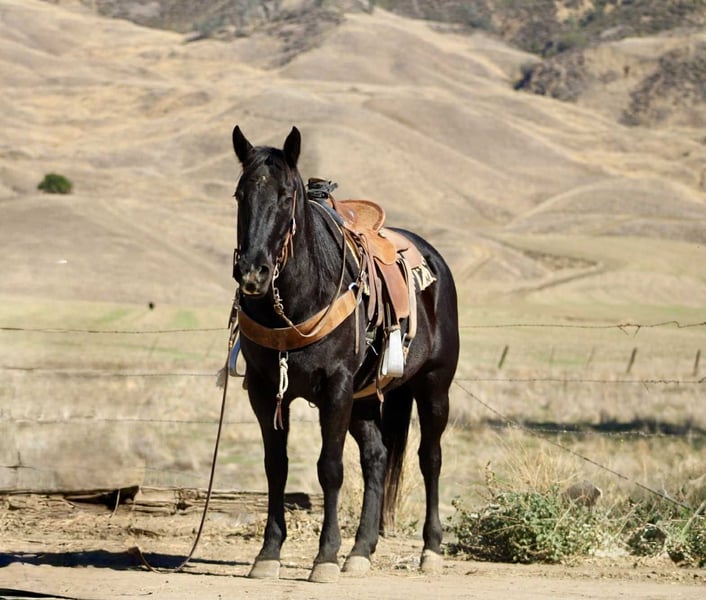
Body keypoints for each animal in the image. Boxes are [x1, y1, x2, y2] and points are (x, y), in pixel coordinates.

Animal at [229, 125, 459, 583]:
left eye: (286, 196)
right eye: (239, 194)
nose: (253, 273)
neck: (299, 299)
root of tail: (435, 261)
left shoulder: (334, 389)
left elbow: (329, 469)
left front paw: (325, 556)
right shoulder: (264, 390)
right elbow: (275, 466)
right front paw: (268, 554)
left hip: (433, 387)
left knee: (430, 458)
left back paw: (430, 549)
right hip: (365, 398)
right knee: (377, 457)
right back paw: (362, 551)